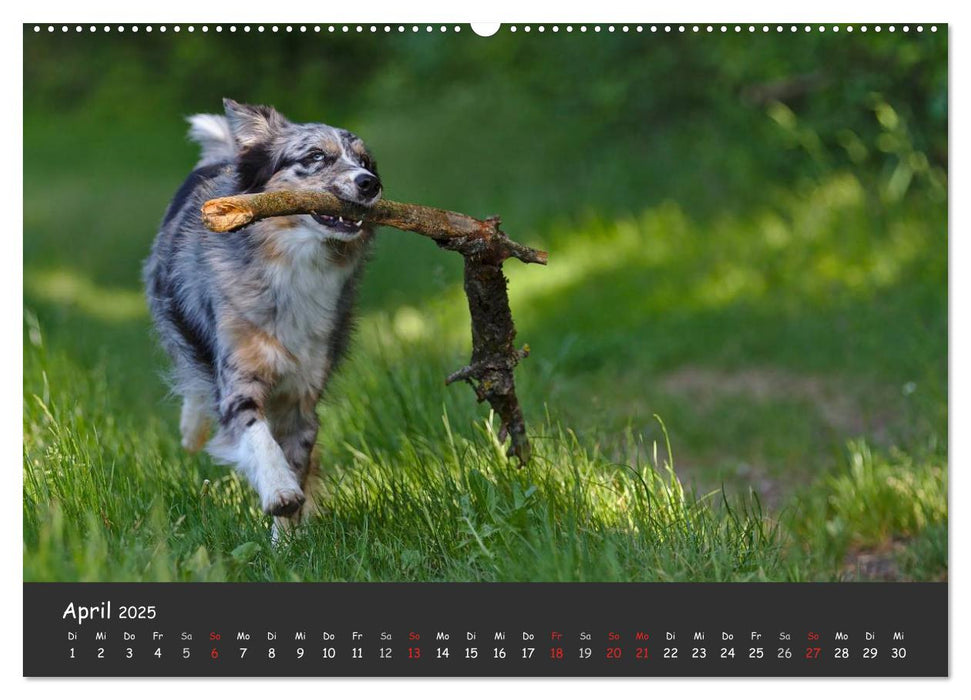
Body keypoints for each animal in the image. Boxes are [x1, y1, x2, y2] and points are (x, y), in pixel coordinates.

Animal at [144, 98, 380, 536]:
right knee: (195, 381)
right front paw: (278, 491)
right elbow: (256, 434)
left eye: (366, 161)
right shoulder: (238, 373)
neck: (294, 262)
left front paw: (286, 541)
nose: (370, 183)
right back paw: (192, 430)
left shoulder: (302, 395)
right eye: (315, 157)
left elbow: (298, 457)